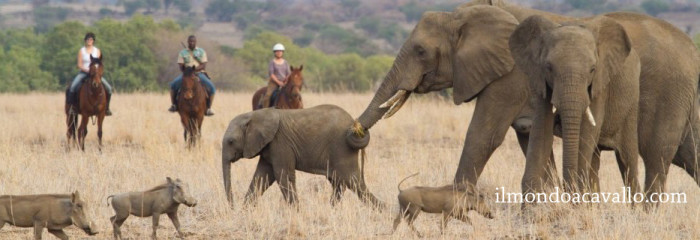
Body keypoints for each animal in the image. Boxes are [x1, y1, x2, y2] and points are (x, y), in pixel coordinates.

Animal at [224, 104, 386, 209]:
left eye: (231, 141)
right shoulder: (269, 146)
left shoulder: (280, 143)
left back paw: (385, 210)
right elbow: (262, 177)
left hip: (342, 149)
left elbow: (282, 175)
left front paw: (296, 212)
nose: (233, 207)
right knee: (339, 181)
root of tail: (355, 125)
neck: (254, 115)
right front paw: (245, 212)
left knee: (353, 181)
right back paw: (332, 209)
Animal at [350, 0, 700, 199]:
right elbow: (531, 141)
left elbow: (483, 135)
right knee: (691, 156)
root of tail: (691, 49)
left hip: (668, 94)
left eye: (421, 51)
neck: (466, 14)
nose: (356, 135)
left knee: (656, 158)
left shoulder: (510, 77)